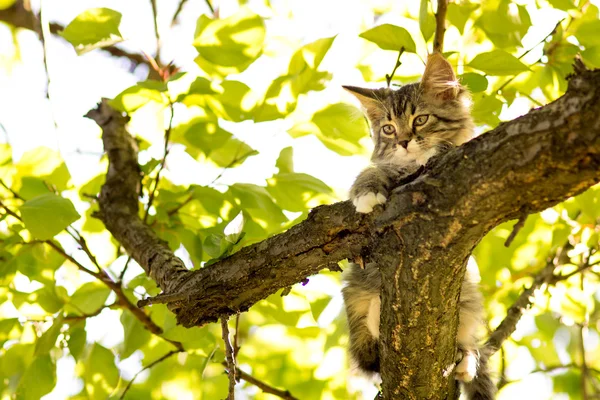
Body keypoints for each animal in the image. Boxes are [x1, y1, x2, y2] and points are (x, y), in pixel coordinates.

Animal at [342, 54, 496, 400]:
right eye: (388, 129)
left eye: (420, 120)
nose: (402, 141)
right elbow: (371, 171)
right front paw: (366, 192)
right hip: (355, 289)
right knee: (369, 352)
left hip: (467, 294)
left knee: (466, 343)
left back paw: (465, 360)